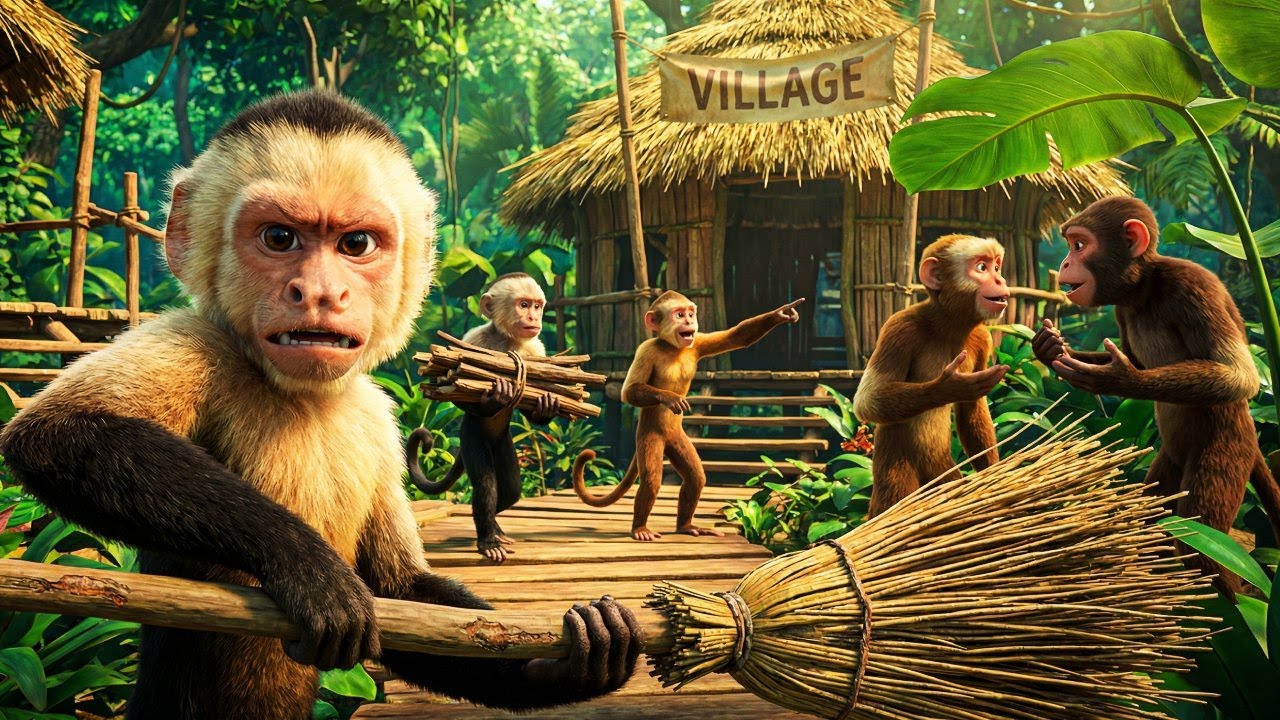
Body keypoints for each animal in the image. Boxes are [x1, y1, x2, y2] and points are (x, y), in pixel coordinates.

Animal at [406, 272, 560, 563]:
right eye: (524, 305)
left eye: (537, 306)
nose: (534, 317)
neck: (506, 341)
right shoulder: (473, 341)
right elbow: (453, 386)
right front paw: (495, 397)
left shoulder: (537, 351)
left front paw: (547, 405)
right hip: (471, 438)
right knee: (487, 485)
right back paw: (488, 538)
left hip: (503, 442)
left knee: (510, 489)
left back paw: (494, 527)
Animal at [572, 291, 804, 541]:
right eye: (679, 314)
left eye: (690, 314)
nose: (689, 321)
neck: (672, 348)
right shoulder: (646, 349)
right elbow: (628, 391)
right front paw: (668, 397)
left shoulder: (696, 343)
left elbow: (737, 337)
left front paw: (782, 313)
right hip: (648, 436)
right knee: (652, 480)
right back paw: (640, 528)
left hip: (677, 439)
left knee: (695, 477)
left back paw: (685, 525)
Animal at [852, 235, 1011, 518]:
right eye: (982, 268)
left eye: (996, 266)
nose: (1000, 280)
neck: (947, 326)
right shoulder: (899, 328)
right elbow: (867, 400)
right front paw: (949, 387)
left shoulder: (983, 338)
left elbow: (971, 409)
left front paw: (993, 477)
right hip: (895, 466)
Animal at [1032, 195, 1280, 596]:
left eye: (1079, 245)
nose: (1065, 263)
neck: (1144, 289)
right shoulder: (1121, 305)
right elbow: (1133, 355)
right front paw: (1049, 347)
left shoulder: (1194, 287)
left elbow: (1239, 376)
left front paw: (1118, 378)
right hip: (1171, 461)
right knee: (1155, 517)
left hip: (1228, 449)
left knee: (1201, 543)